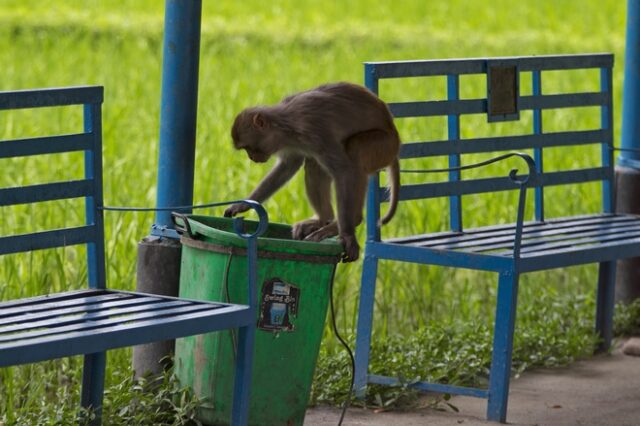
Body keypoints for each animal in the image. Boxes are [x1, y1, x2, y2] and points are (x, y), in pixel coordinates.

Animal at [225, 81, 400, 262]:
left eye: (249, 147)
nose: (252, 157)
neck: (286, 125)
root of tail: (395, 141)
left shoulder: (315, 131)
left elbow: (344, 170)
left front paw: (347, 235)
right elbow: (288, 166)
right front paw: (243, 205)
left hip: (383, 146)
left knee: (354, 150)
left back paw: (350, 221)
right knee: (314, 165)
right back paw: (323, 219)